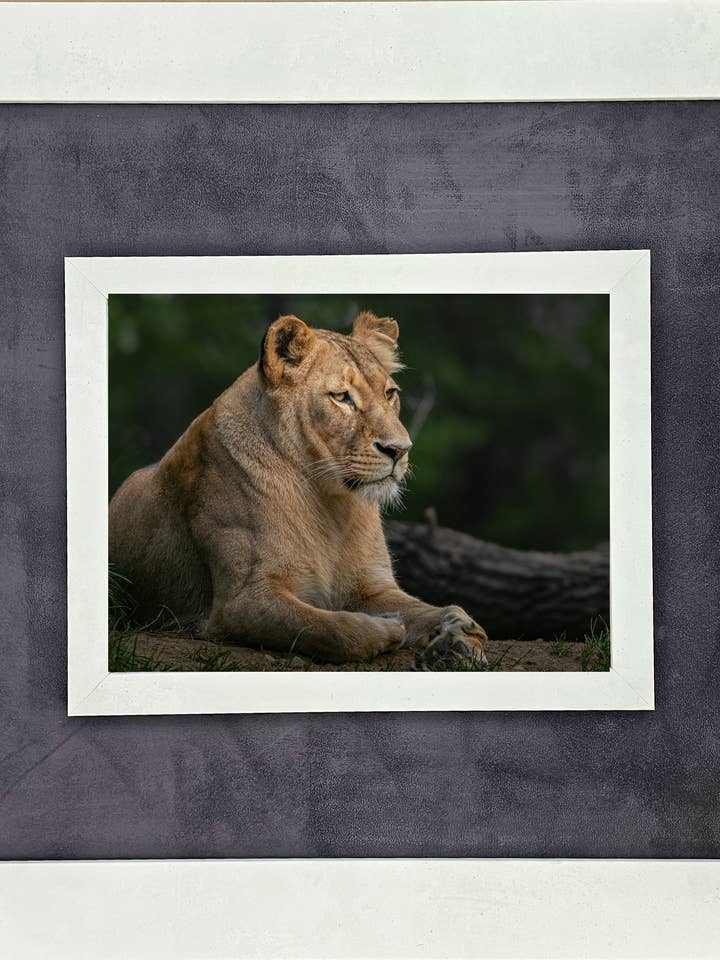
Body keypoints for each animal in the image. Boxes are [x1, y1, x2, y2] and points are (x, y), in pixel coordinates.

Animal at [109, 311, 488, 667]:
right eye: (342, 397)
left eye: (390, 394)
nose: (400, 449)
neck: (332, 503)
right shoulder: (242, 602)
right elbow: (330, 628)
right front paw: (386, 627)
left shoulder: (371, 586)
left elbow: (437, 609)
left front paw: (459, 637)